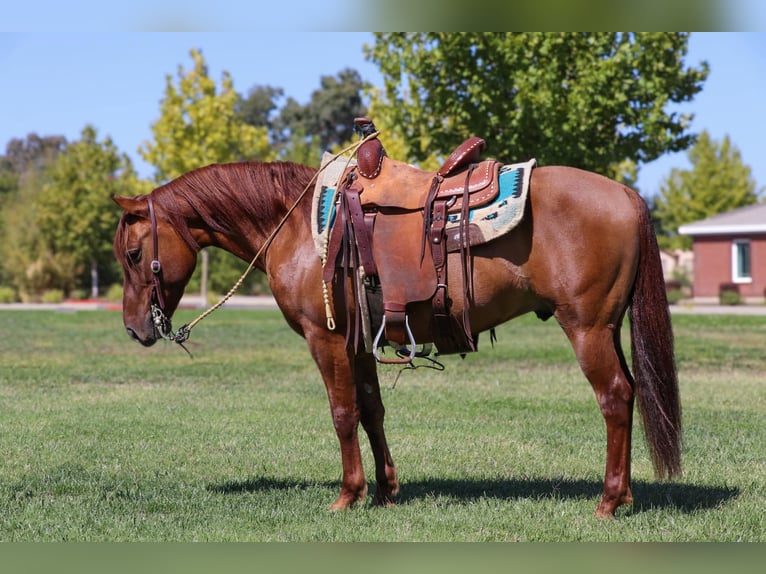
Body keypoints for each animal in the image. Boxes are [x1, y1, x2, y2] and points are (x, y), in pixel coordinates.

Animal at [112, 158, 681, 518]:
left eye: (134, 254)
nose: (136, 329)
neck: (295, 225)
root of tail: (628, 194)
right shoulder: (358, 342)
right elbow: (371, 410)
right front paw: (386, 490)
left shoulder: (326, 339)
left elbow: (342, 414)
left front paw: (348, 495)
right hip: (607, 329)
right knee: (629, 394)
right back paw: (626, 496)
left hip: (587, 329)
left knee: (615, 398)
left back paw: (607, 502)